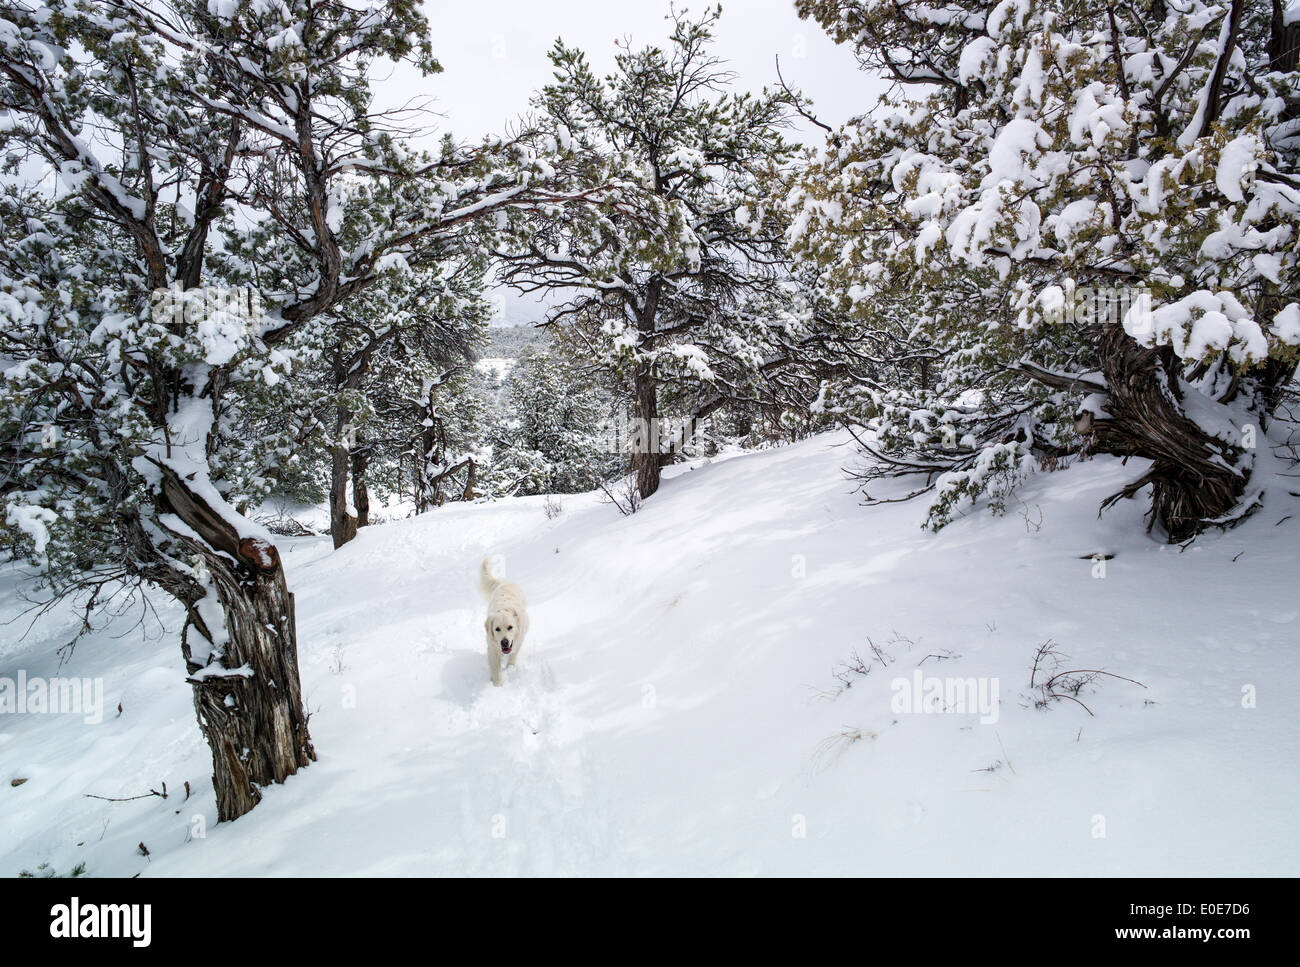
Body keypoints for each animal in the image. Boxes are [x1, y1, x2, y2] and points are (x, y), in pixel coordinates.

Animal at [478, 556, 527, 686]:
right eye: (497, 629)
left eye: (510, 627)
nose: (504, 642)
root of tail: (504, 582)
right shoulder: (493, 649)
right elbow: (496, 670)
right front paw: (497, 685)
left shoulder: (519, 640)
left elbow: (513, 655)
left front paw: (510, 668)